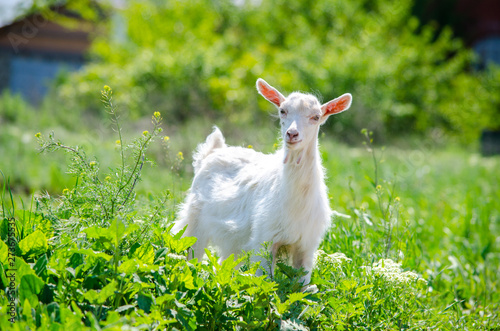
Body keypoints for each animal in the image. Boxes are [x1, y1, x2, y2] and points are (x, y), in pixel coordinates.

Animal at [174, 78, 354, 286]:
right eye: (282, 110)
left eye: (316, 116)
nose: (292, 134)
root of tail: (211, 152)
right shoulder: (264, 239)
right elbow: (265, 281)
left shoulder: (306, 245)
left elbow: (302, 287)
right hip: (194, 221)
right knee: (191, 253)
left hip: (233, 240)